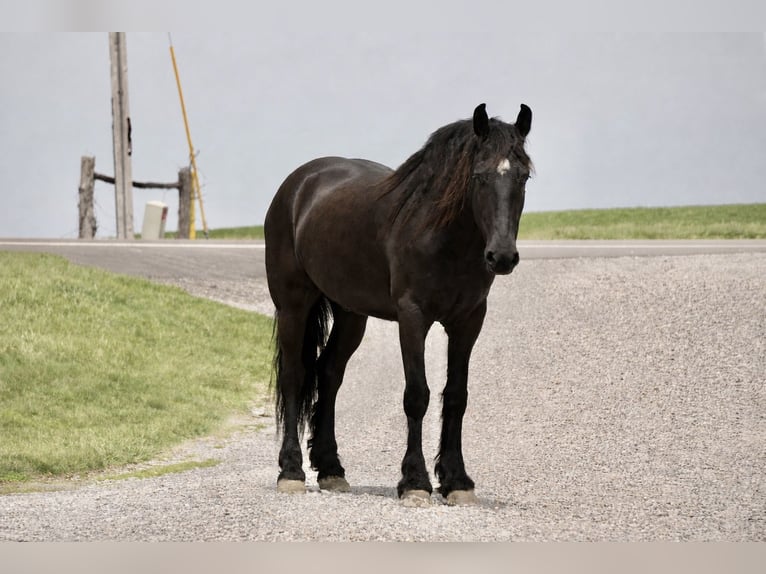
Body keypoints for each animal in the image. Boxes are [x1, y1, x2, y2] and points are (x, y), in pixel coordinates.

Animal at [264, 103, 532, 506]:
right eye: (479, 176)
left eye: (523, 177)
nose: (501, 257)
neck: (441, 235)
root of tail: (297, 185)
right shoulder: (413, 317)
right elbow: (417, 395)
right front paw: (415, 481)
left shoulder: (469, 321)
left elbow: (456, 396)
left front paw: (457, 481)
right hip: (293, 305)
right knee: (295, 376)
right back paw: (291, 471)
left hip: (351, 314)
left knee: (329, 374)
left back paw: (331, 469)